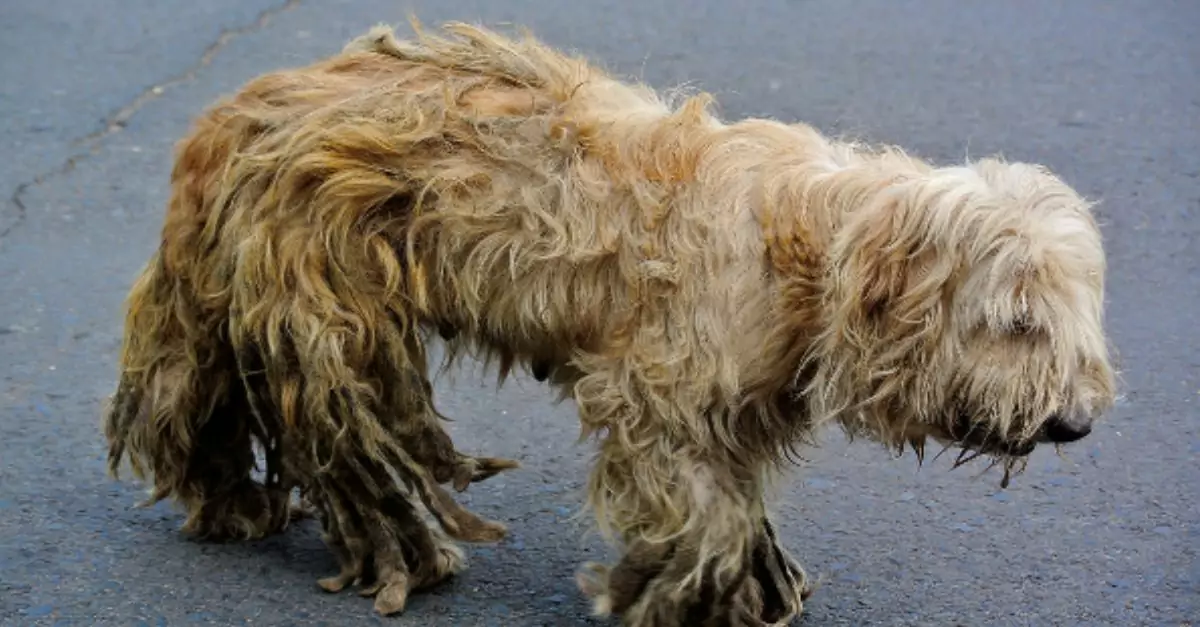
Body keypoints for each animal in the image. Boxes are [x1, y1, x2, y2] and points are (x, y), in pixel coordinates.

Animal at [103, 20, 1113, 624]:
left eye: (1071, 324)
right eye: (1018, 321)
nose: (1075, 423)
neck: (807, 249)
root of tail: (232, 111)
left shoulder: (731, 406)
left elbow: (736, 501)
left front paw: (750, 581)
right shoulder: (660, 397)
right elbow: (701, 508)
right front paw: (682, 592)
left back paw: (231, 502)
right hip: (326, 324)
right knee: (344, 437)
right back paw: (392, 546)